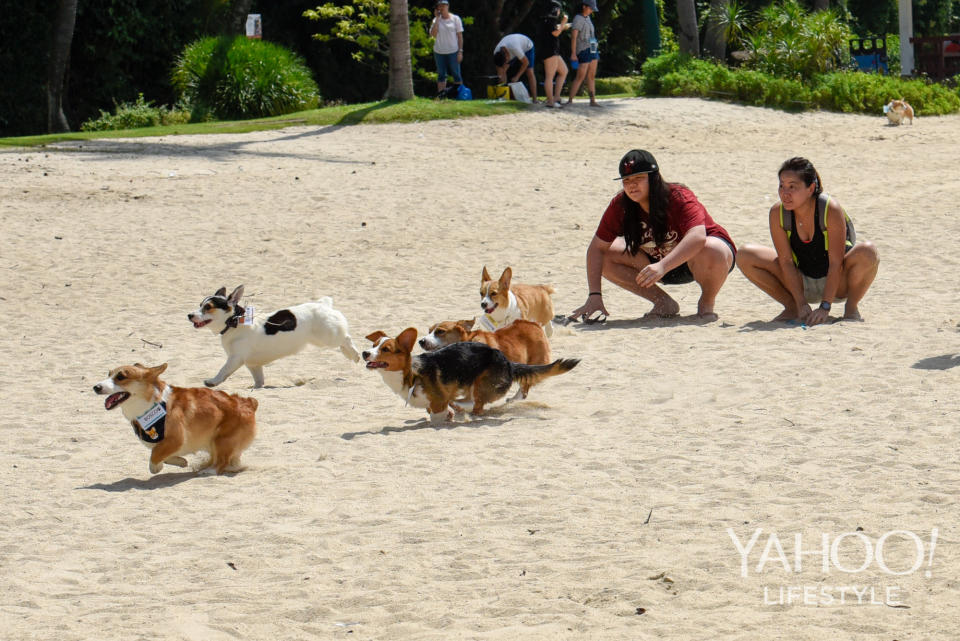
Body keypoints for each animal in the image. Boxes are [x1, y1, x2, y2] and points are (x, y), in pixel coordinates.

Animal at [93, 362, 256, 472]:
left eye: (121, 377)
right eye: (108, 374)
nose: (96, 387)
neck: (151, 404)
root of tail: (249, 403)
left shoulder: (176, 439)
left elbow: (154, 457)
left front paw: (158, 467)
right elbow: (162, 455)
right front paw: (181, 461)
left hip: (221, 441)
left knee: (222, 461)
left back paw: (208, 471)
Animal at [189, 284, 362, 384]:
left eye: (208, 307)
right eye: (200, 305)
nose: (189, 315)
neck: (234, 322)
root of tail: (323, 305)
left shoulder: (235, 359)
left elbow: (223, 371)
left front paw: (212, 381)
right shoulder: (253, 365)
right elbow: (259, 382)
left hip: (328, 337)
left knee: (346, 338)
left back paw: (354, 355)